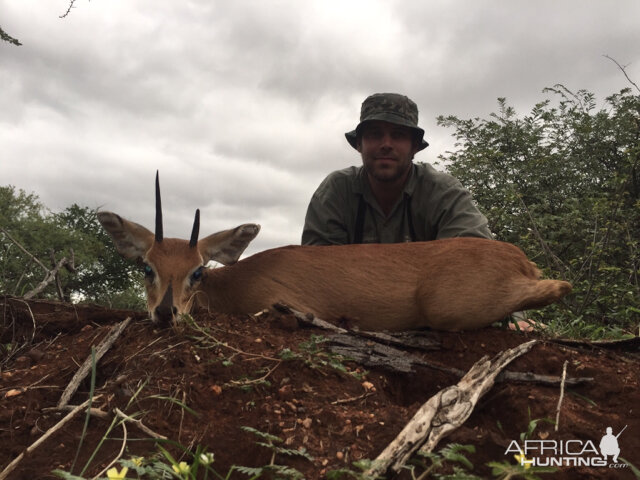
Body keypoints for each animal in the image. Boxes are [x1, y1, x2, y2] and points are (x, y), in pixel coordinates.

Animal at [99, 174, 568, 332]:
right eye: (147, 267)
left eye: (197, 271)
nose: (165, 313)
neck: (235, 282)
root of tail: (519, 258)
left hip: (449, 309)